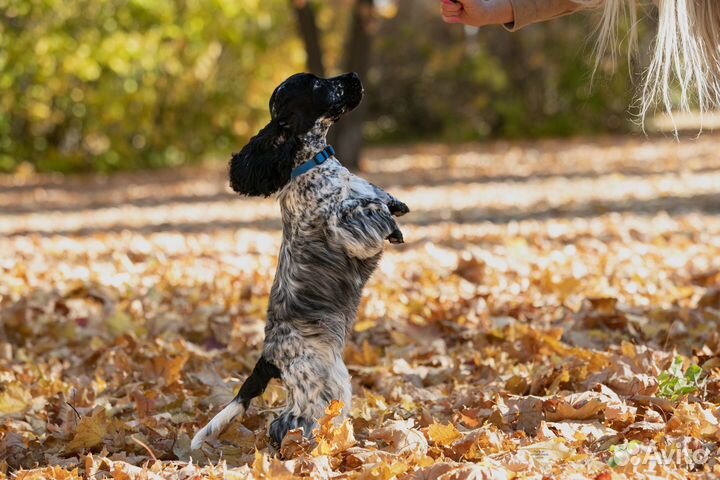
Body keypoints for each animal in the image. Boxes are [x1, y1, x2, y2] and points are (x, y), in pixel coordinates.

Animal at [191, 72, 408, 450]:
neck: (315, 160)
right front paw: (386, 216)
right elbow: (364, 211)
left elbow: (371, 192)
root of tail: (268, 359)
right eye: (318, 84)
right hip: (323, 380)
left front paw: (393, 204)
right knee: (292, 421)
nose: (354, 76)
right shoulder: (344, 228)